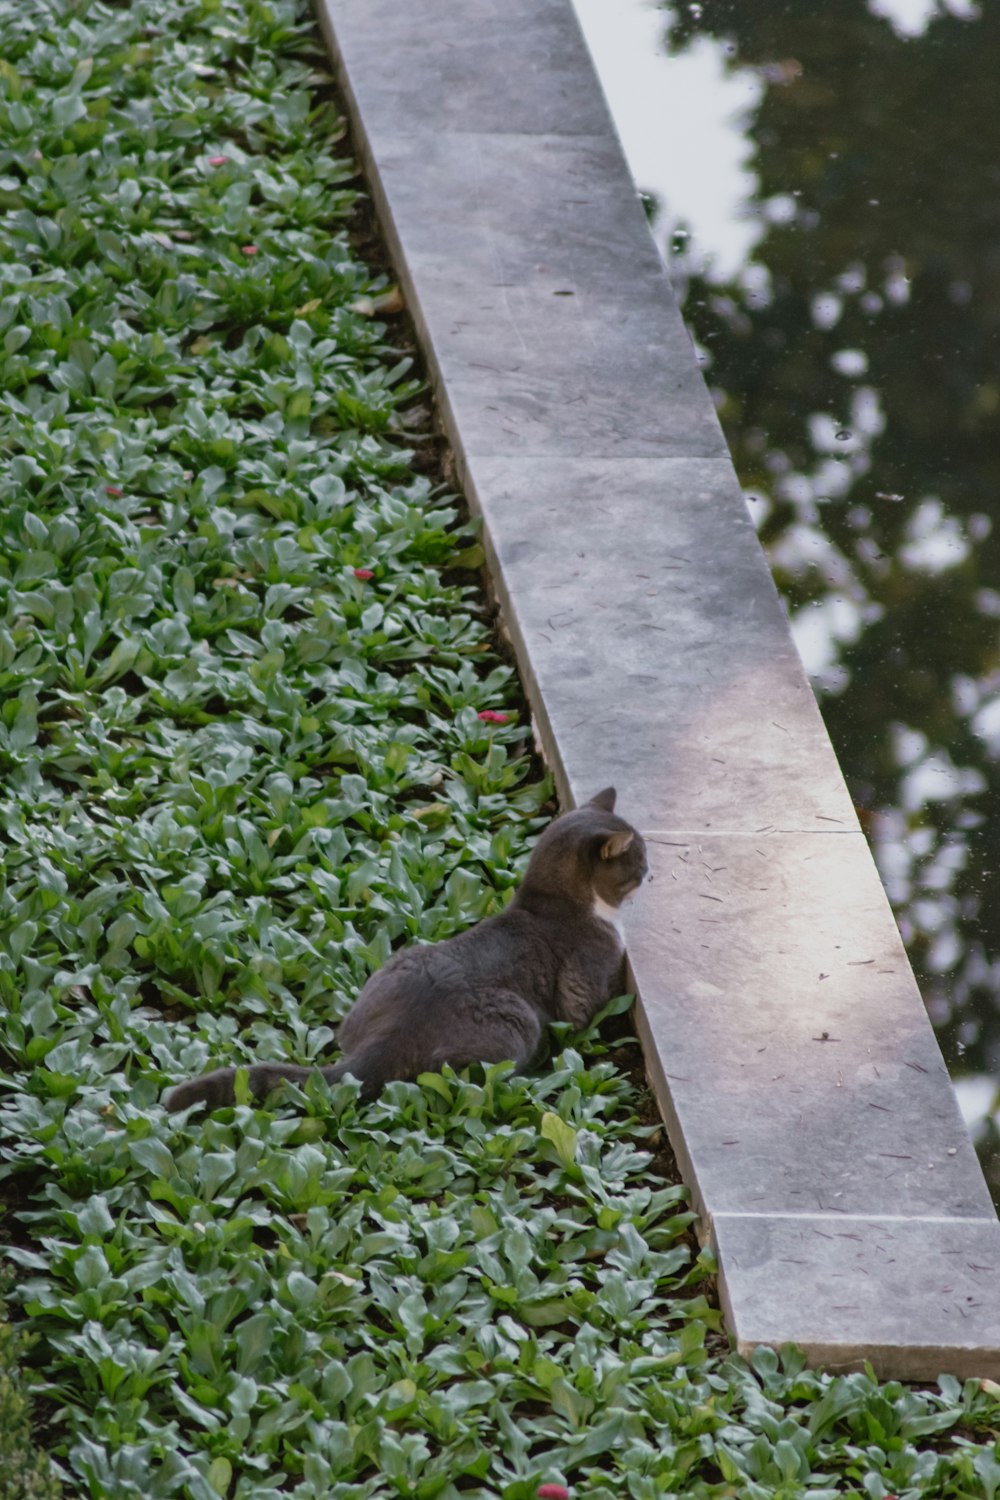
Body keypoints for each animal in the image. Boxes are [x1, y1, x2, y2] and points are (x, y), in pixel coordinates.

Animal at [164, 786, 650, 1116]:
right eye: (639, 860)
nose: (651, 873)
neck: (558, 902)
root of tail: (388, 1038)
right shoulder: (585, 980)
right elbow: (584, 1012)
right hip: (519, 1021)